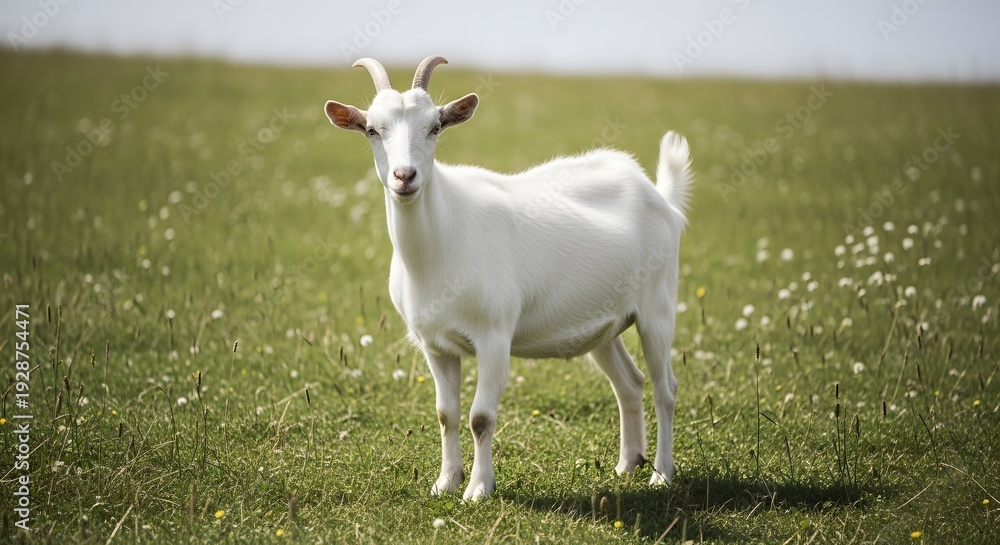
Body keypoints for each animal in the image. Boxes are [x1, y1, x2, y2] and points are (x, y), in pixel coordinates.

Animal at [324, 56, 693, 500]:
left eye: (435, 126)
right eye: (372, 130)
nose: (404, 176)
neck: (440, 243)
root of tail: (661, 197)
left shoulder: (494, 336)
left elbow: (480, 417)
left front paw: (479, 489)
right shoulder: (435, 345)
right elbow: (446, 414)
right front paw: (445, 482)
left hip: (658, 306)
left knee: (664, 388)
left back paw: (662, 474)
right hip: (604, 324)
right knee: (630, 383)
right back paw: (627, 465)